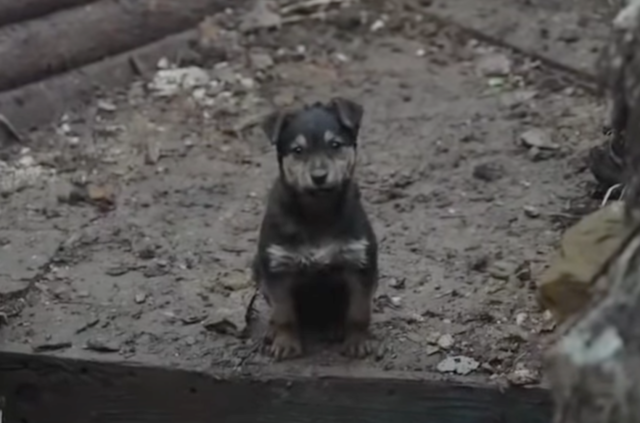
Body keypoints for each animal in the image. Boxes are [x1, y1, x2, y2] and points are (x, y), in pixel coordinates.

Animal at [251, 97, 380, 362]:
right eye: (298, 150)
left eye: (335, 145)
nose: (319, 176)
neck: (318, 211)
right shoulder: (278, 267)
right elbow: (284, 314)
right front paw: (286, 344)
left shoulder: (360, 263)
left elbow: (358, 312)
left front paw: (357, 343)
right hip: (257, 268)